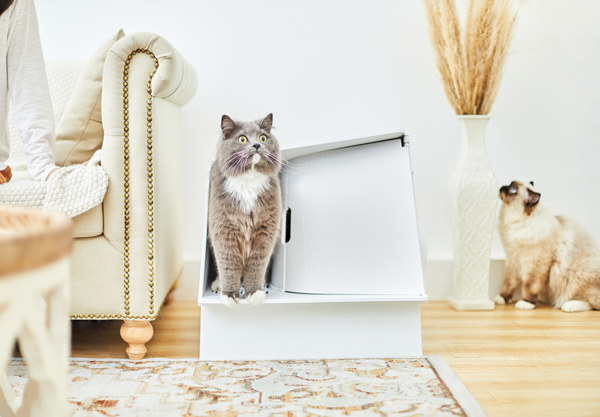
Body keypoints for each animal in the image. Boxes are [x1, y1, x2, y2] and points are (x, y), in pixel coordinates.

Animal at [207, 113, 282, 306]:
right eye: (242, 139)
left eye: (263, 138)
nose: (256, 145)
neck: (249, 179)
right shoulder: (223, 230)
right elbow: (228, 265)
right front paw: (228, 296)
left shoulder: (266, 233)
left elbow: (256, 266)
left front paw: (254, 293)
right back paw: (217, 284)